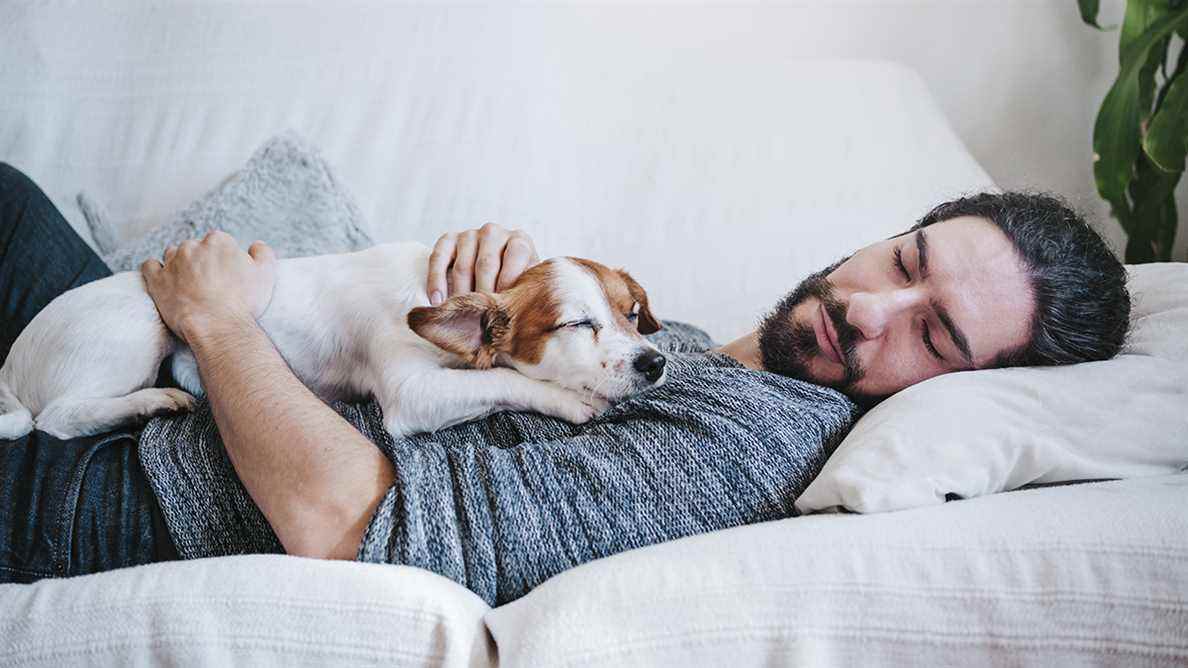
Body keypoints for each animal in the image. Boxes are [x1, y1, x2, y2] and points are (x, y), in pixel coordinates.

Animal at [0, 241, 670, 439]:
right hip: (142, 324)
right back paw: (150, 402)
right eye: (576, 324)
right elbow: (506, 377)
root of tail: (10, 363)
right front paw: (571, 400)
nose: (655, 362)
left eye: (632, 314)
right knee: (56, 419)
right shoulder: (411, 394)